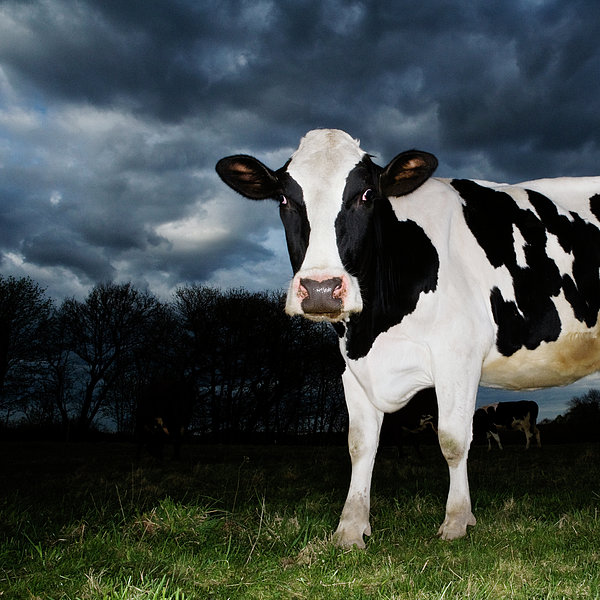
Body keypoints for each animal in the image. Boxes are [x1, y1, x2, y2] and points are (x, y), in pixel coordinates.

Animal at [216, 129, 600, 548]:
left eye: (367, 194)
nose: (320, 289)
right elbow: (360, 444)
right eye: (284, 198)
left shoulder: (457, 356)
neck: (374, 328)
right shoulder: (353, 369)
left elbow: (453, 440)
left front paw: (457, 520)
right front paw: (350, 527)